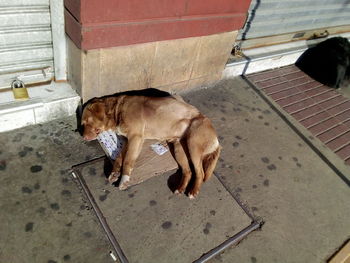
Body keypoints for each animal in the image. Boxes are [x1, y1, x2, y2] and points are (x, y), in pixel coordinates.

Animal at [80, 88, 220, 198]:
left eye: (86, 122)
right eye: (82, 123)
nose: (83, 137)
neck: (117, 110)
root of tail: (217, 141)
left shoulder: (135, 138)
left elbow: (128, 160)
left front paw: (124, 180)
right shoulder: (128, 140)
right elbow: (119, 157)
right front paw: (114, 173)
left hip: (193, 146)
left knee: (200, 173)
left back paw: (193, 191)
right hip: (179, 148)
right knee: (188, 171)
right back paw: (180, 189)